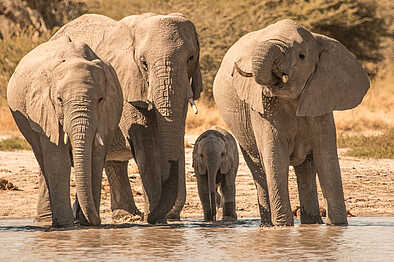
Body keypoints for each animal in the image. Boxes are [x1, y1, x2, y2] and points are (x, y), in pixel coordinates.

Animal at [6, 35, 123, 227]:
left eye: (100, 99)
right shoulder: (45, 110)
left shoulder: (108, 112)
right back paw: (49, 221)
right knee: (43, 159)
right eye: (59, 100)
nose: (99, 221)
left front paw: (85, 223)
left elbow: (96, 158)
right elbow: (58, 160)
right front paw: (66, 225)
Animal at [50, 12, 203, 223]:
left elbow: (175, 133)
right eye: (143, 63)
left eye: (190, 58)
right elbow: (146, 142)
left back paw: (126, 216)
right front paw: (155, 219)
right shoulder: (127, 81)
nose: (169, 215)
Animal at [212, 19, 370, 226]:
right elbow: (276, 159)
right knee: (259, 167)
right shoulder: (262, 110)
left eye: (302, 56)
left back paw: (312, 223)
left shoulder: (321, 101)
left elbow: (326, 160)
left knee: (306, 168)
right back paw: (269, 225)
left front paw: (338, 226)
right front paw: (283, 227)